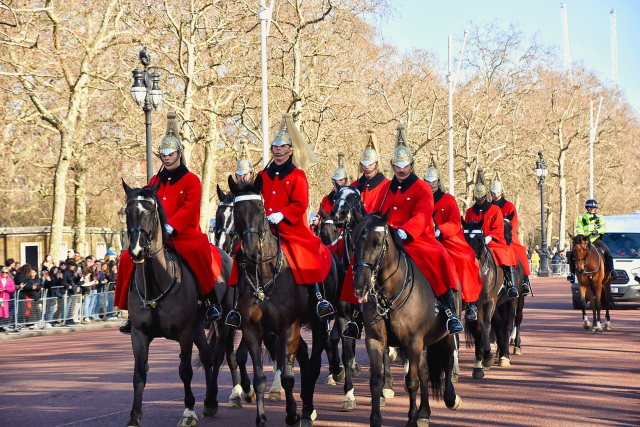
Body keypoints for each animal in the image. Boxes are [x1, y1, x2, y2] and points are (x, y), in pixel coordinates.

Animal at [120, 181, 232, 427]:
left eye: (150, 212)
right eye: (127, 212)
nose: (137, 251)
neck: (154, 282)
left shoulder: (184, 333)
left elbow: (185, 371)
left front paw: (188, 411)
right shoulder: (139, 334)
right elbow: (139, 374)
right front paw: (134, 417)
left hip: (222, 324)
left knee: (219, 355)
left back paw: (213, 399)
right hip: (199, 327)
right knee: (207, 357)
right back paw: (209, 402)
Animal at [228, 175, 342, 427]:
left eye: (261, 211)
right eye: (236, 212)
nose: (251, 254)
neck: (264, 275)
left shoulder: (289, 326)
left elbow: (289, 376)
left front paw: (292, 415)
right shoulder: (252, 330)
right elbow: (259, 377)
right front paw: (261, 418)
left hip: (318, 322)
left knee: (314, 363)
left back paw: (308, 410)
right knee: (304, 356)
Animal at [350, 212, 460, 426]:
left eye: (377, 243)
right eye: (355, 242)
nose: (360, 287)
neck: (388, 295)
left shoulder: (413, 341)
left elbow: (411, 381)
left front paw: (411, 420)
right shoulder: (375, 340)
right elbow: (376, 380)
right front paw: (375, 419)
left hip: (444, 335)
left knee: (448, 359)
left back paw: (450, 397)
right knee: (425, 370)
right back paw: (424, 412)